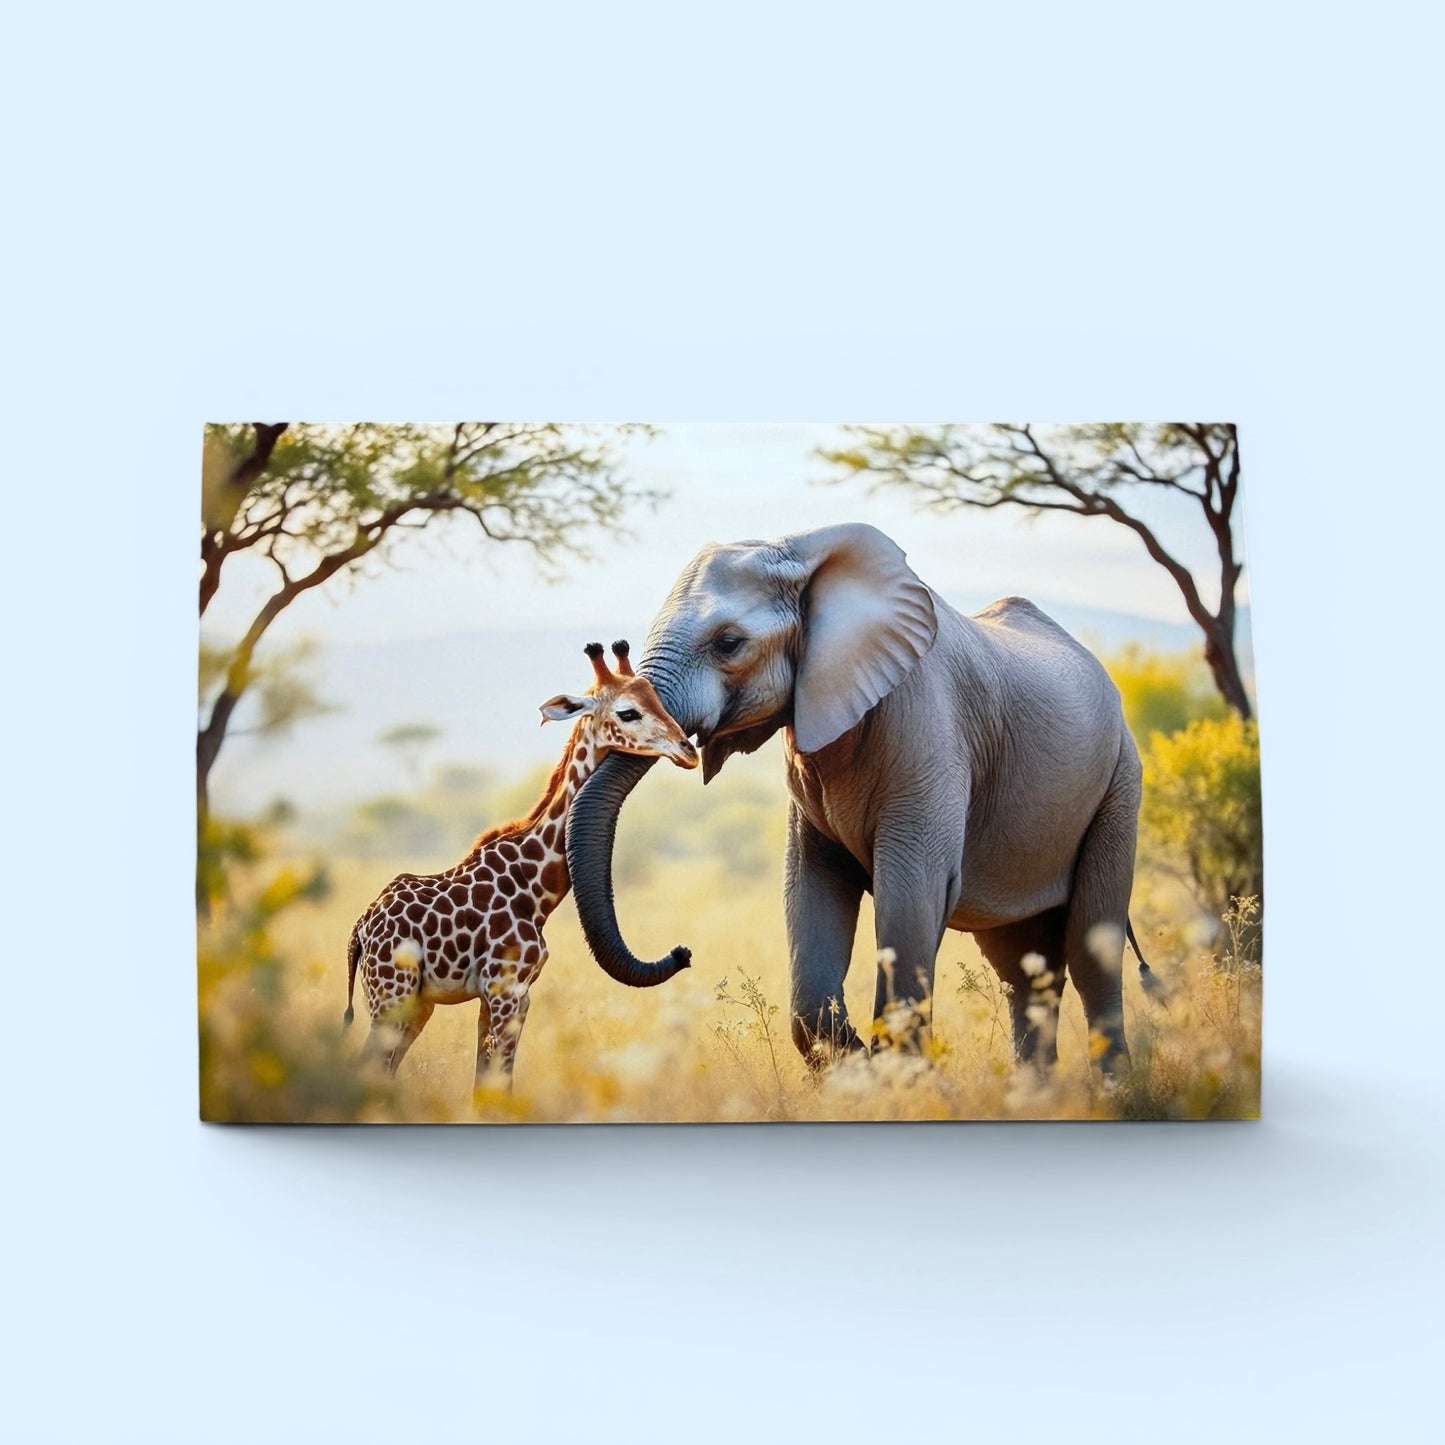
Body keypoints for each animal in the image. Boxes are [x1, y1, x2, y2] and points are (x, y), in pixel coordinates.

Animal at [344, 641, 698, 1090]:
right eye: (628, 712)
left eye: (656, 698)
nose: (688, 751)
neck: (531, 884)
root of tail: (360, 931)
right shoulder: (504, 988)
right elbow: (497, 1084)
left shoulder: (517, 994)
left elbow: (488, 1083)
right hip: (391, 994)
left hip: (416, 1005)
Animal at [565, 521, 1143, 1073]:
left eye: (728, 643)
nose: (681, 952)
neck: (803, 550)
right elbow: (811, 888)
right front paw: (860, 1065)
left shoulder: (930, 733)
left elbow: (912, 895)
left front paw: (894, 1077)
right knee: (1023, 968)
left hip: (1121, 780)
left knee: (1092, 950)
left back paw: (1116, 1089)